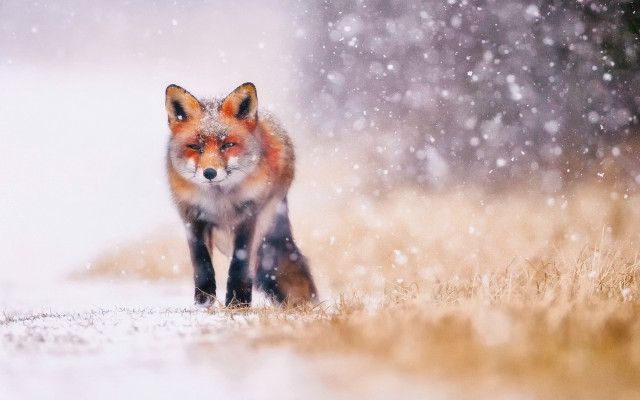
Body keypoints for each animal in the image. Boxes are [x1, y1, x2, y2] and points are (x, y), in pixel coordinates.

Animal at [164, 82, 317, 308]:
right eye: (195, 147)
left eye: (227, 145)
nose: (210, 173)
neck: (220, 201)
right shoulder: (191, 216)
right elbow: (201, 261)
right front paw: (204, 300)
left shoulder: (249, 216)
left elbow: (240, 262)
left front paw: (238, 302)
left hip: (265, 218)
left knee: (254, 262)